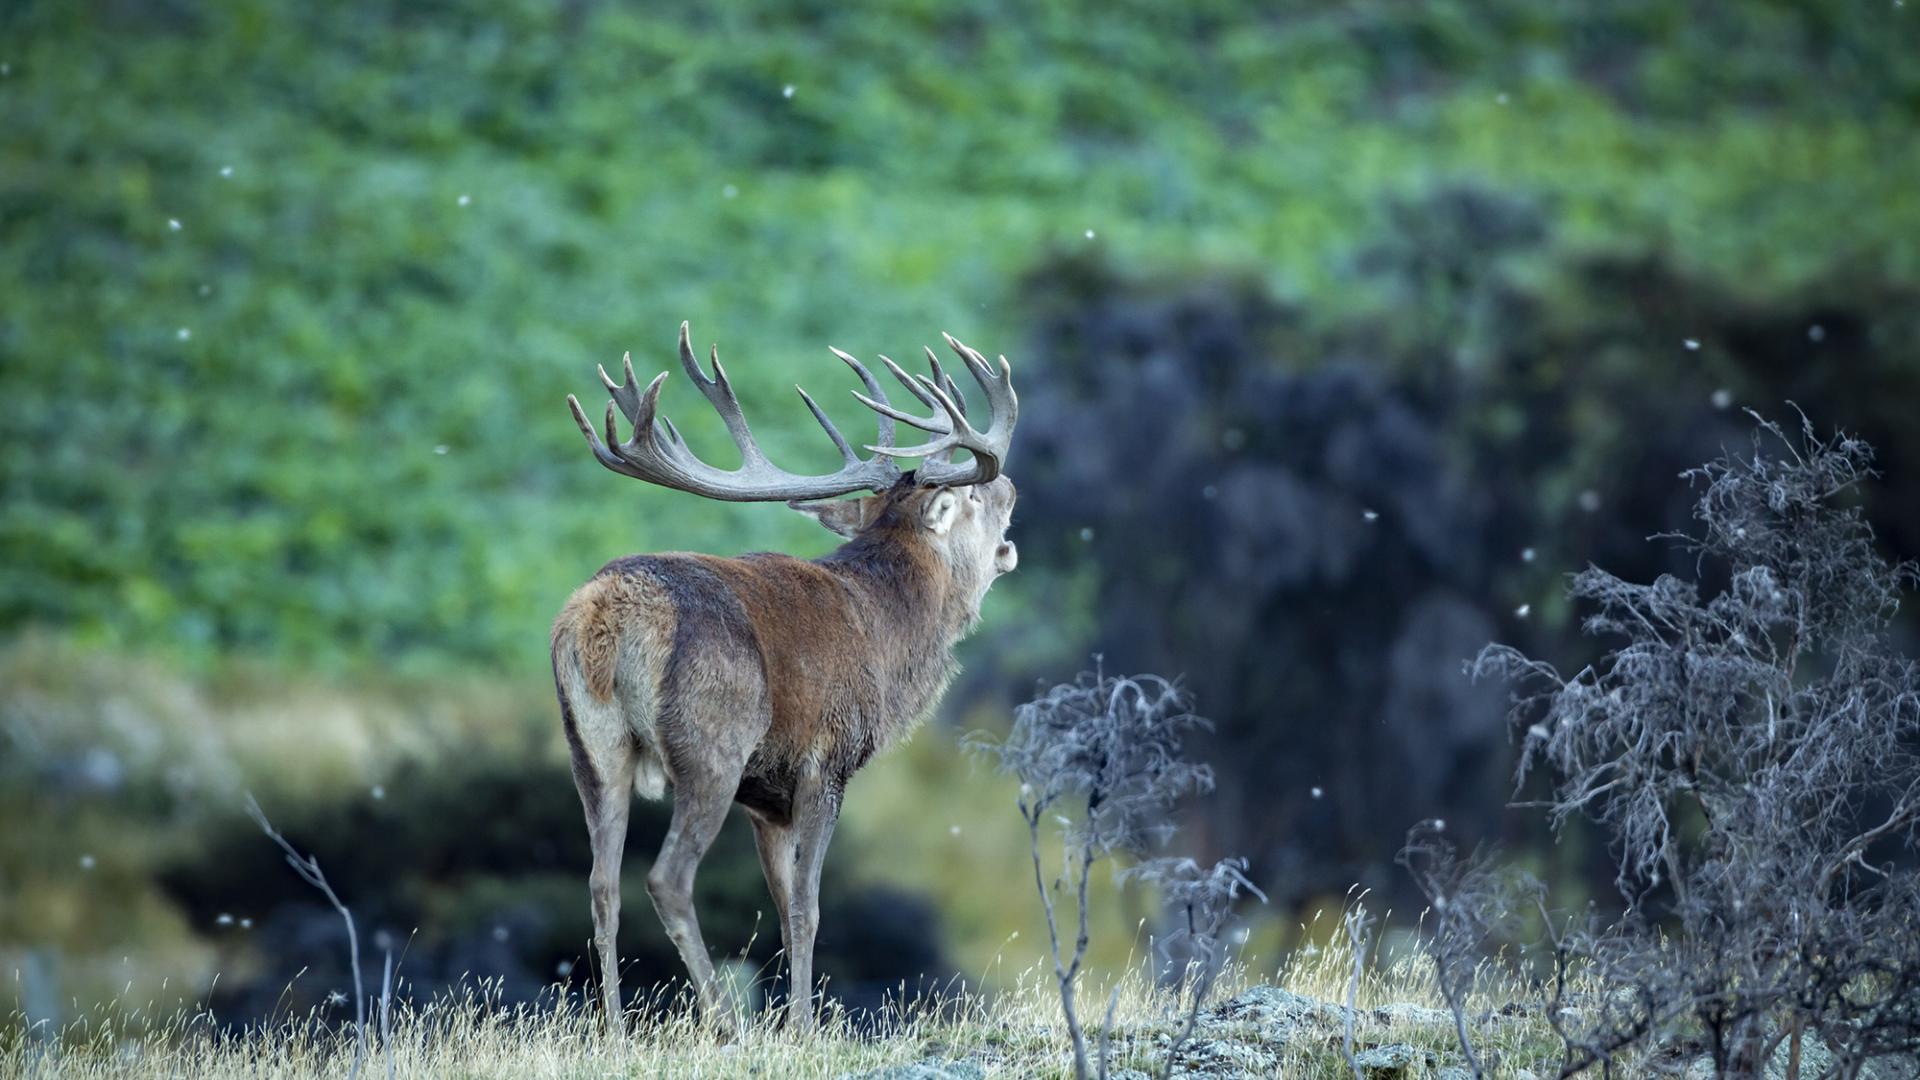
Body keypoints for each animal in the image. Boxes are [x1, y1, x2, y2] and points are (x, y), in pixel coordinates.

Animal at [549, 322, 1019, 1034]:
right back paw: (725, 1024)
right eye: (971, 496)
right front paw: (802, 1028)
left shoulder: (766, 797)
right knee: (666, 878)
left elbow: (778, 902)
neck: (891, 633)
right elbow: (806, 906)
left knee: (602, 886)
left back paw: (617, 1037)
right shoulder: (826, 761)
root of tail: (606, 615)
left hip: (591, 748)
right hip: (712, 741)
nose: (1011, 490)